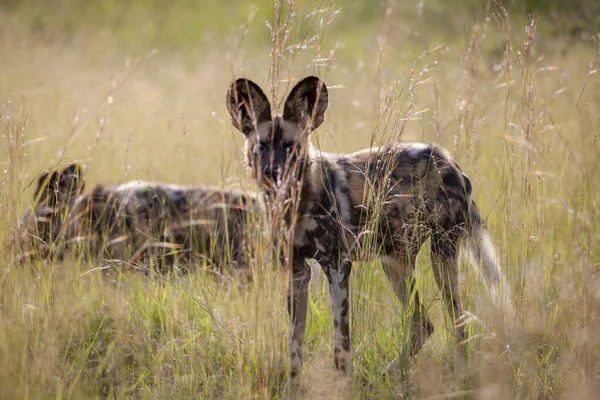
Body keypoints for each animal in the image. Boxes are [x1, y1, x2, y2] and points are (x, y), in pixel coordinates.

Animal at [225, 76, 510, 380]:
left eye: (290, 147)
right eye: (262, 146)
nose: (272, 172)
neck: (296, 204)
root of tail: (448, 160)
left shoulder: (338, 268)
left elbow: (341, 347)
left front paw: (342, 385)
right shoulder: (297, 273)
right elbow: (294, 347)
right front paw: (294, 387)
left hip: (440, 258)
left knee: (458, 323)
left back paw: (459, 373)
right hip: (395, 263)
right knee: (423, 324)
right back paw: (392, 372)